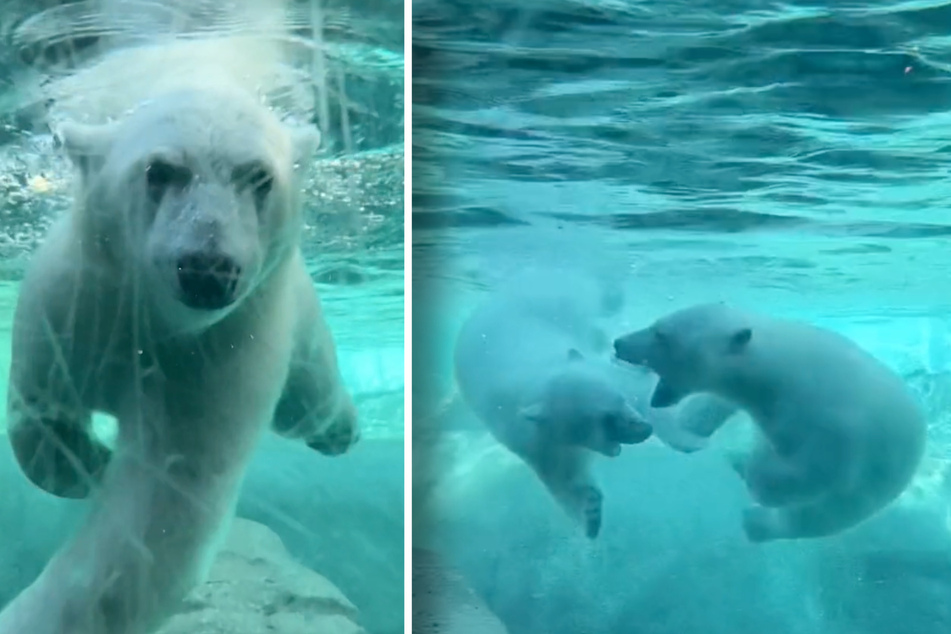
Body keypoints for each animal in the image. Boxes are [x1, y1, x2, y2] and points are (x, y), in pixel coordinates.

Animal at [612, 304, 924, 540]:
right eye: (657, 323)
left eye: (661, 334)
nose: (618, 343)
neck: (785, 372)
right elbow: (715, 406)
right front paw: (694, 425)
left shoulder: (837, 427)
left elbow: (813, 472)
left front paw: (755, 473)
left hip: (865, 494)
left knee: (810, 518)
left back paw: (755, 518)